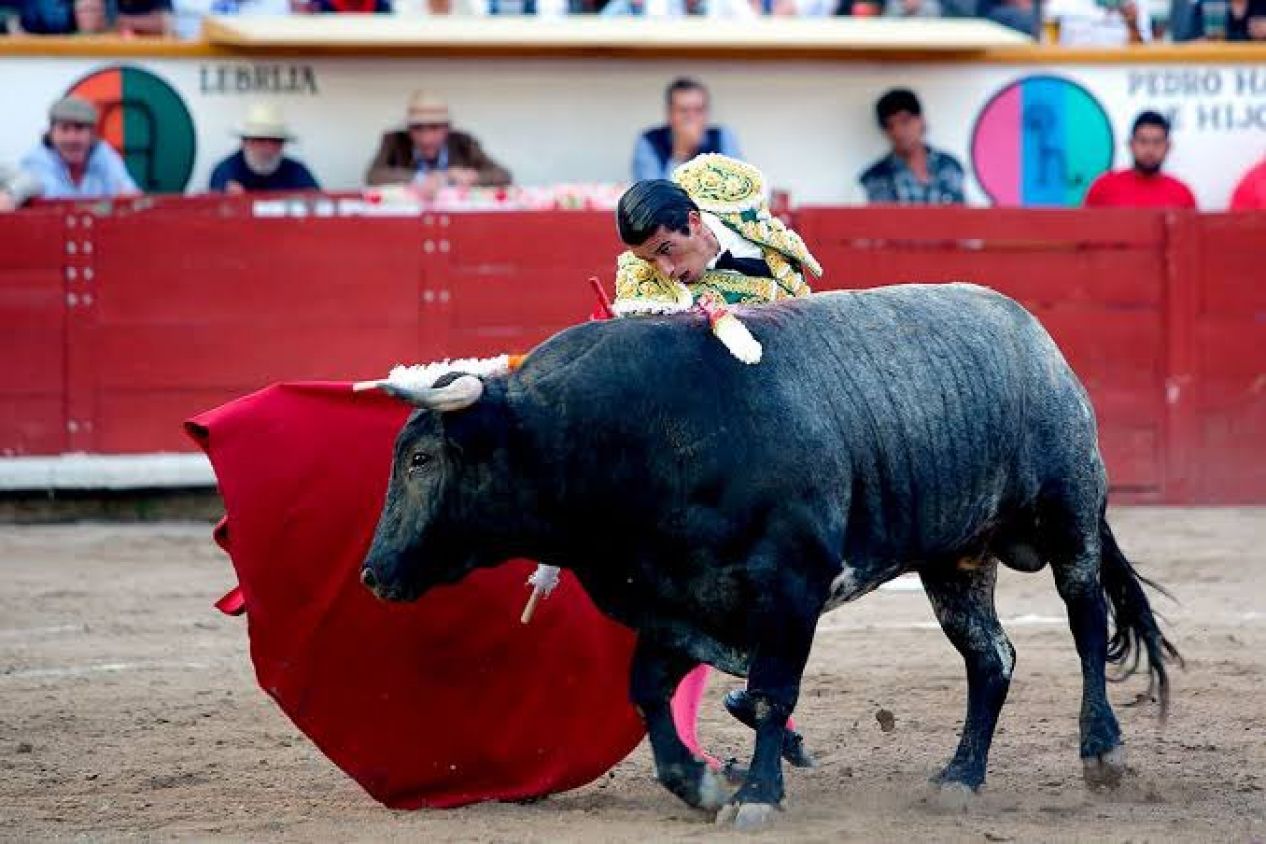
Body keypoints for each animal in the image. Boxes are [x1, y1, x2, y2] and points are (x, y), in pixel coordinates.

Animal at [362, 285, 1179, 830]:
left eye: (423, 458)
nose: (373, 572)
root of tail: (1034, 335)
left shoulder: (790, 587)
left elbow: (768, 694)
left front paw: (754, 797)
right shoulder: (671, 596)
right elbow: (652, 688)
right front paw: (700, 785)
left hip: (1069, 516)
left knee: (1084, 621)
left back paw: (1103, 753)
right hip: (957, 560)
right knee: (992, 659)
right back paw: (958, 778)